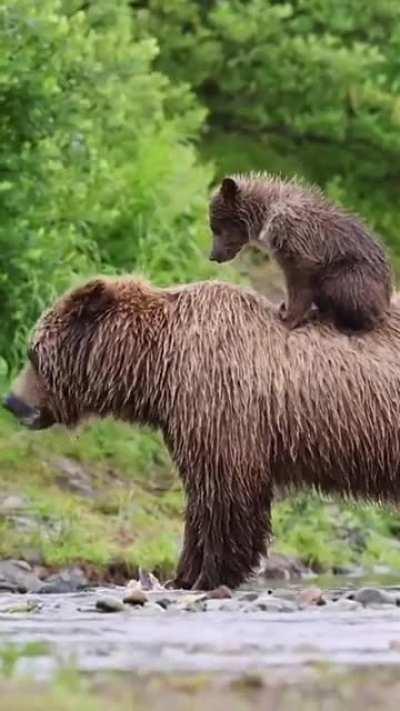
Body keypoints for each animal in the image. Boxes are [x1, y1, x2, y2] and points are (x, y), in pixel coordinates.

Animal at [5, 276, 400, 590]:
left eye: (34, 353)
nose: (12, 402)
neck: (156, 367)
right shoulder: (190, 417)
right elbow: (200, 498)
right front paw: (182, 576)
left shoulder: (220, 405)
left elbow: (224, 496)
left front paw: (208, 574)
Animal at [209, 173, 393, 331]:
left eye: (216, 228)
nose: (213, 256)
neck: (265, 216)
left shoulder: (300, 248)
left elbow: (300, 287)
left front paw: (287, 318)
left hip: (350, 273)